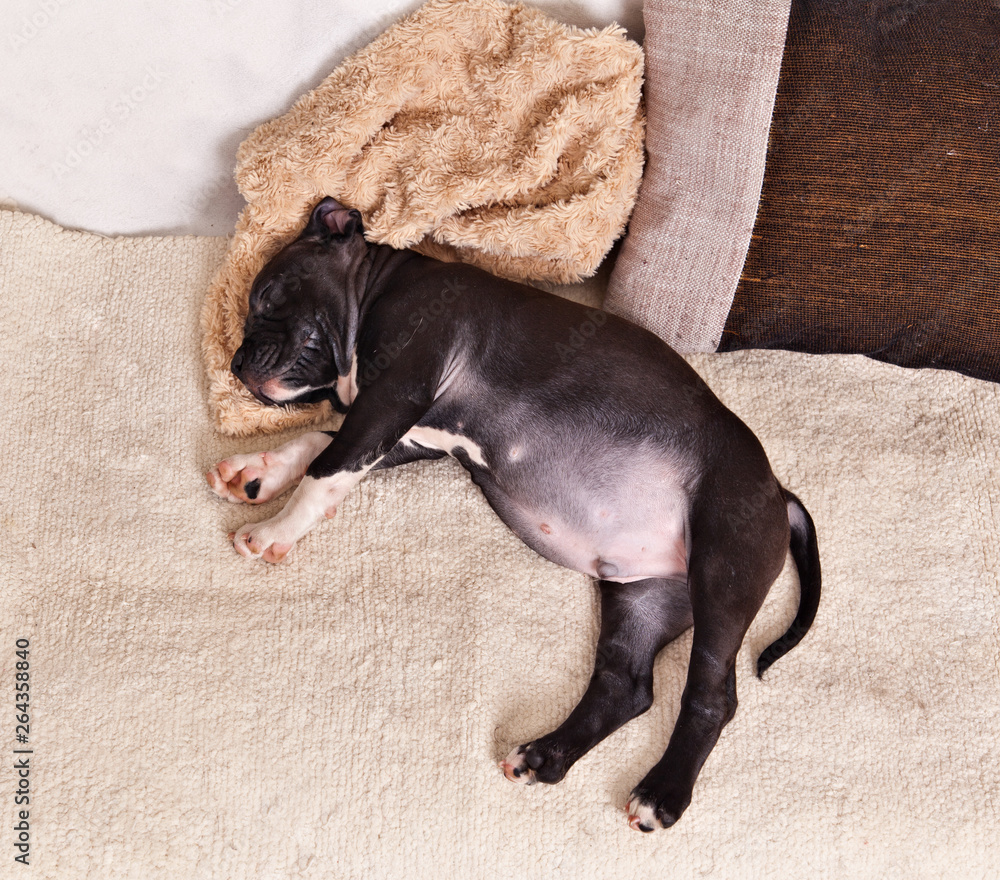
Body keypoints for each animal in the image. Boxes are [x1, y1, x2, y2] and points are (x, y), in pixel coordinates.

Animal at [205, 198, 820, 832]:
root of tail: (779, 492)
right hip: (644, 597)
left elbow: (326, 469)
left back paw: (661, 794)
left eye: (268, 296)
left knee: (710, 695)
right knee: (625, 686)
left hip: (723, 571)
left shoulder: (394, 396)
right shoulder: (405, 435)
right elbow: (316, 446)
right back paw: (544, 756)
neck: (377, 286)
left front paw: (274, 529)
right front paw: (257, 471)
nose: (237, 361)